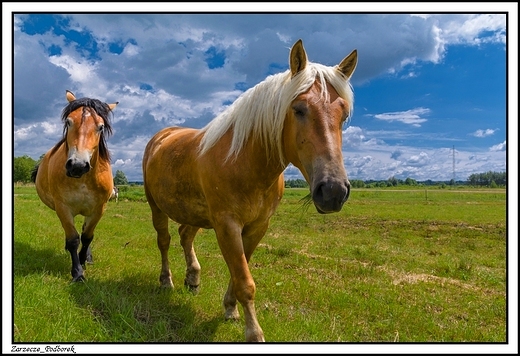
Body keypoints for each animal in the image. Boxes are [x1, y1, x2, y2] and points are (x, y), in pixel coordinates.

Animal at [31, 90, 119, 282]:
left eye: (101, 127)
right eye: (69, 122)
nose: (77, 165)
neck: (83, 180)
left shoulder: (99, 209)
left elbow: (87, 237)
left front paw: (84, 260)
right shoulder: (63, 208)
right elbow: (73, 239)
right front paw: (77, 273)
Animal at [141, 39, 358, 342]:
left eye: (343, 114)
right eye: (299, 109)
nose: (333, 191)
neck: (245, 163)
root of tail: (162, 136)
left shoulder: (256, 227)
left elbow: (238, 273)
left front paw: (230, 308)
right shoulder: (227, 225)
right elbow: (244, 280)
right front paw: (254, 332)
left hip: (194, 212)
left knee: (185, 236)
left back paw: (193, 278)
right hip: (156, 206)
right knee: (164, 241)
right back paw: (166, 281)